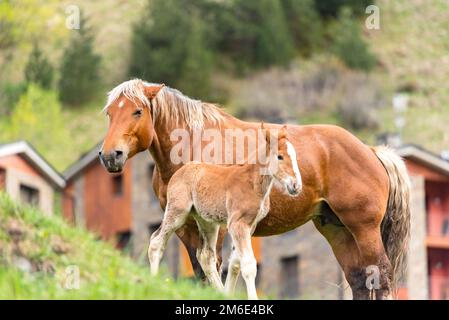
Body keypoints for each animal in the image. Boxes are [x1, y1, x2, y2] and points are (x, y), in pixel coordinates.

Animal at [99, 79, 410, 298]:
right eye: (109, 113)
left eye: (137, 111)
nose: (110, 155)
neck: (192, 144)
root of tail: (371, 151)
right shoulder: (186, 225)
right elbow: (201, 270)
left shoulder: (219, 226)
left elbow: (218, 264)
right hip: (337, 229)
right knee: (359, 279)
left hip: (364, 228)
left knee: (381, 275)